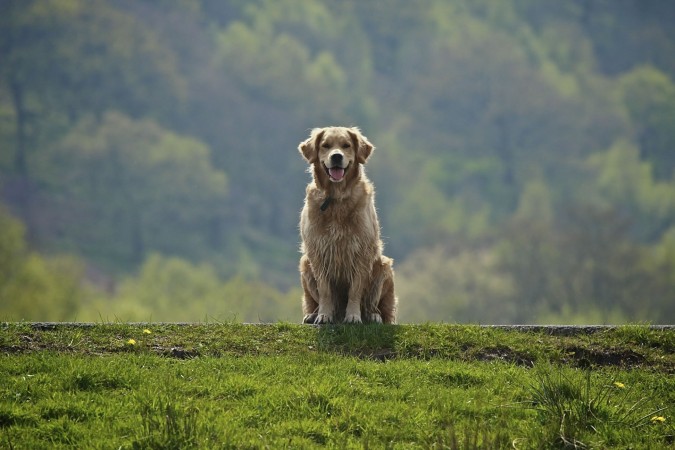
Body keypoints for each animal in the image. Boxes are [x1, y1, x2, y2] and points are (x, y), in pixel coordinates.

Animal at [296, 126, 396, 324]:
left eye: (346, 145)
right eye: (325, 145)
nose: (336, 157)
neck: (337, 198)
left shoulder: (362, 250)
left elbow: (355, 290)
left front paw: (353, 316)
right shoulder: (317, 250)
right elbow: (325, 289)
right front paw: (324, 315)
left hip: (384, 265)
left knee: (375, 306)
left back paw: (372, 315)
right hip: (305, 264)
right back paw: (313, 314)